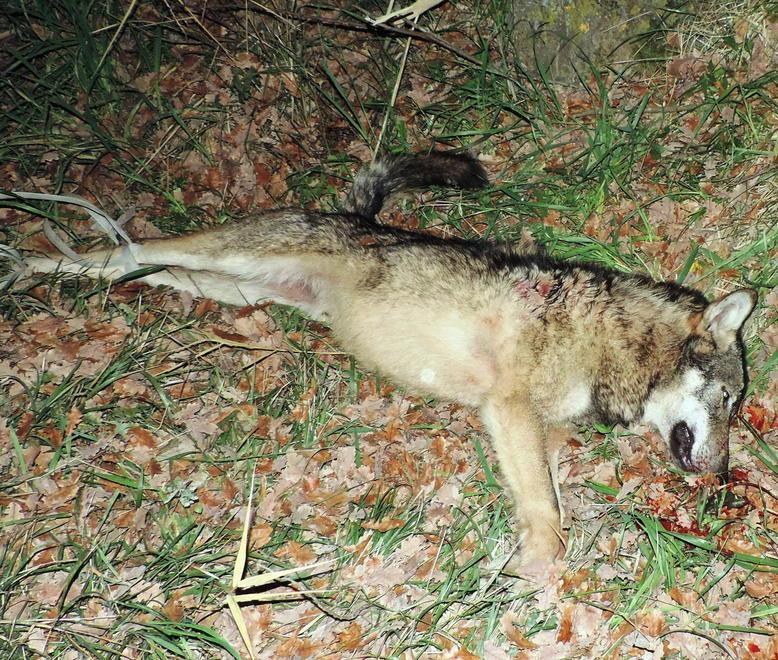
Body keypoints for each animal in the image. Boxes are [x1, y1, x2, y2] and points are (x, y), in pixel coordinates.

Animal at [15, 152, 757, 565]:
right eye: (728, 402)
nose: (723, 477)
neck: (613, 338)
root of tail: (359, 219)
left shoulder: (528, 422)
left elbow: (544, 490)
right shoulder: (509, 406)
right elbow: (547, 509)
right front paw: (543, 565)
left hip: (225, 285)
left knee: (133, 266)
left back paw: (53, 273)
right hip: (223, 255)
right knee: (128, 245)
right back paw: (32, 259)